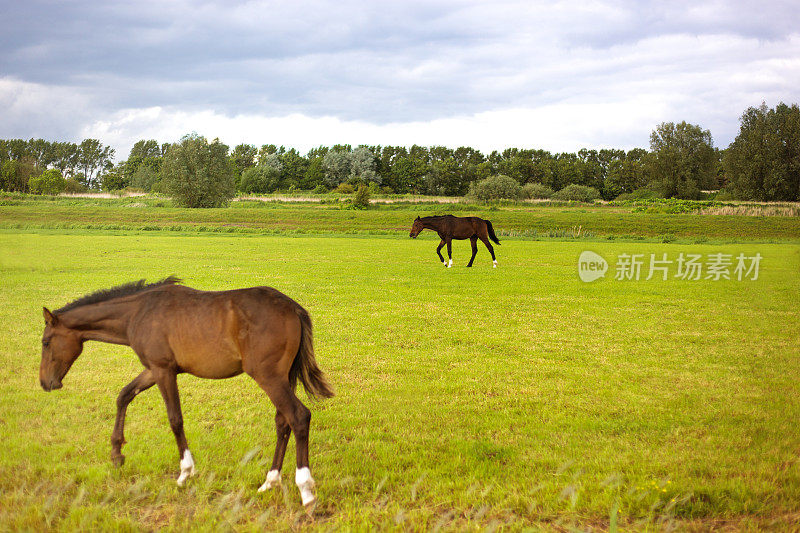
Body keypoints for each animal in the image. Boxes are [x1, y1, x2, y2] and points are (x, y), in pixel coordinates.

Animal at [36, 276, 332, 510]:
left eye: (46, 342)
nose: (46, 383)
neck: (138, 312)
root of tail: (293, 307)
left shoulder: (163, 371)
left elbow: (175, 419)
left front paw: (185, 473)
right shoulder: (153, 369)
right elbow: (124, 396)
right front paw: (117, 454)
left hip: (269, 377)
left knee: (298, 416)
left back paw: (306, 490)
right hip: (283, 378)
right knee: (283, 422)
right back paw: (269, 482)